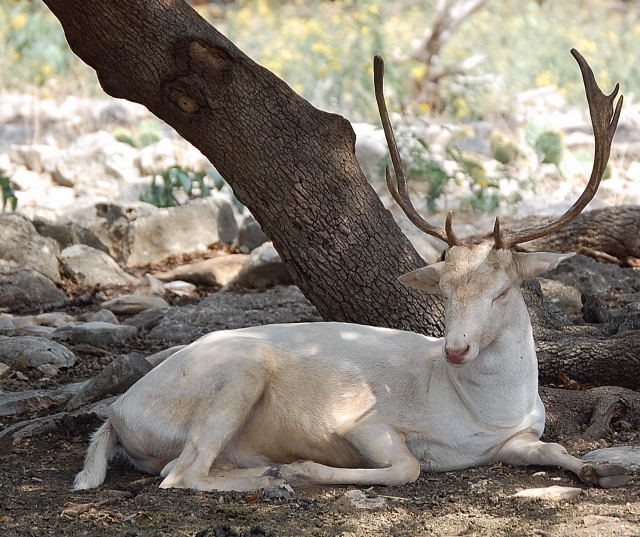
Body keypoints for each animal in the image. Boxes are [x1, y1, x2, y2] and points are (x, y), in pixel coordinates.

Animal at [75, 50, 632, 490]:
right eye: (443, 290)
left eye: (501, 291)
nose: (455, 349)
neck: (484, 414)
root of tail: (117, 413)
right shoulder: (365, 424)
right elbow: (407, 466)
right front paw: (305, 468)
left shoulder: (519, 438)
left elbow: (554, 448)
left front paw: (601, 469)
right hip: (235, 375)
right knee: (181, 473)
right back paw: (276, 478)